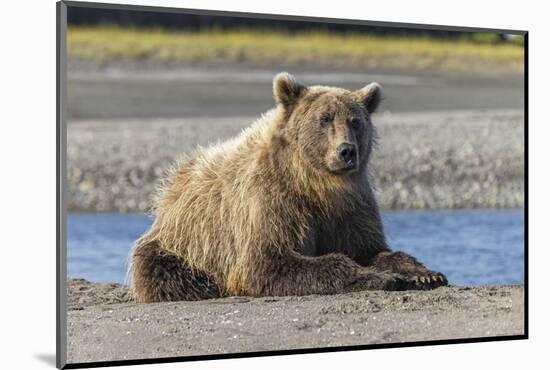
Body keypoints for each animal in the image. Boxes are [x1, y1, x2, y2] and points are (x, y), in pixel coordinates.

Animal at [129, 72, 448, 304]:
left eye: (356, 121)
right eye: (324, 119)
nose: (346, 151)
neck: (317, 185)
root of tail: (175, 181)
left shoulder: (350, 208)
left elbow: (371, 249)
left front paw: (423, 274)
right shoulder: (271, 203)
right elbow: (270, 263)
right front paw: (382, 278)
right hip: (184, 243)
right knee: (166, 272)